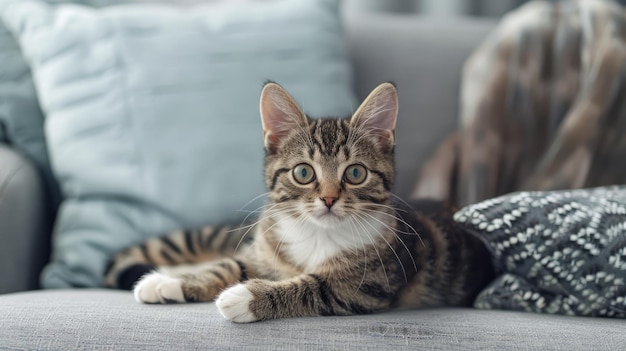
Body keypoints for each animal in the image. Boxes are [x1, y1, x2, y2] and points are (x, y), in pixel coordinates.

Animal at [105, 81, 494, 324]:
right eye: (304, 172)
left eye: (355, 173)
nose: (329, 198)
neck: (317, 233)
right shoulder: (263, 252)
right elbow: (229, 265)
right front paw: (170, 283)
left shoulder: (367, 284)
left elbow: (313, 286)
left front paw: (246, 298)